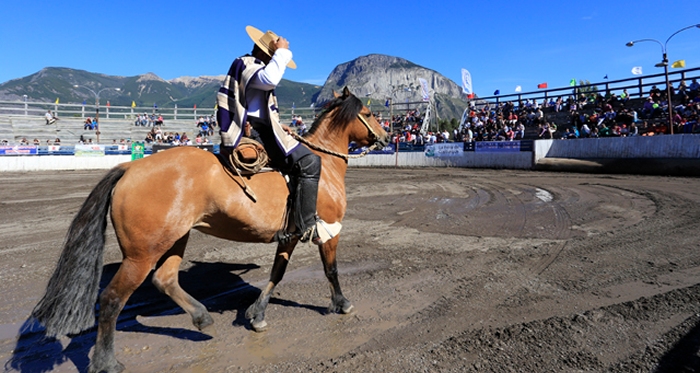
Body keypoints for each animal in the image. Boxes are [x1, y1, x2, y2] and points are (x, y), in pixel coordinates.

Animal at [31, 88, 388, 372]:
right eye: (370, 113)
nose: (385, 137)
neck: (322, 169)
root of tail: (130, 168)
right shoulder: (329, 231)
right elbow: (331, 270)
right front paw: (342, 304)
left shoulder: (290, 236)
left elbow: (277, 272)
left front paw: (257, 314)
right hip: (141, 255)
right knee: (112, 299)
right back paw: (106, 362)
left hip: (175, 239)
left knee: (165, 280)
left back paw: (201, 318)